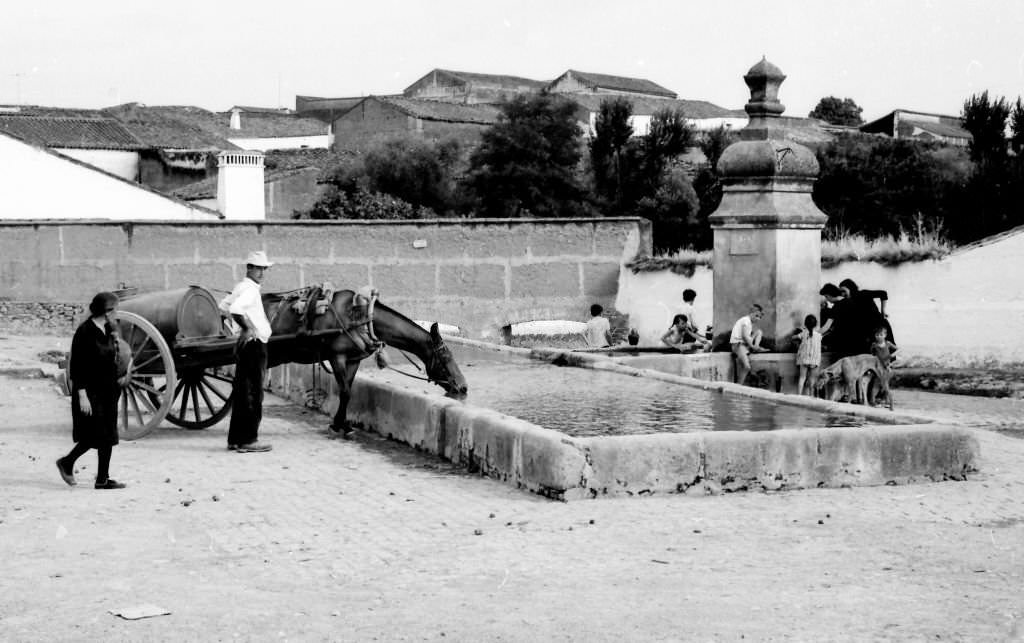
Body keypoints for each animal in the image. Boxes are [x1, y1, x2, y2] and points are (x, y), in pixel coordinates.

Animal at [264, 286, 471, 436]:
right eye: (445, 356)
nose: (463, 387)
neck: (361, 318)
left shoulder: (353, 360)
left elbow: (347, 392)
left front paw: (341, 424)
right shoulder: (337, 357)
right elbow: (345, 392)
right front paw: (338, 426)